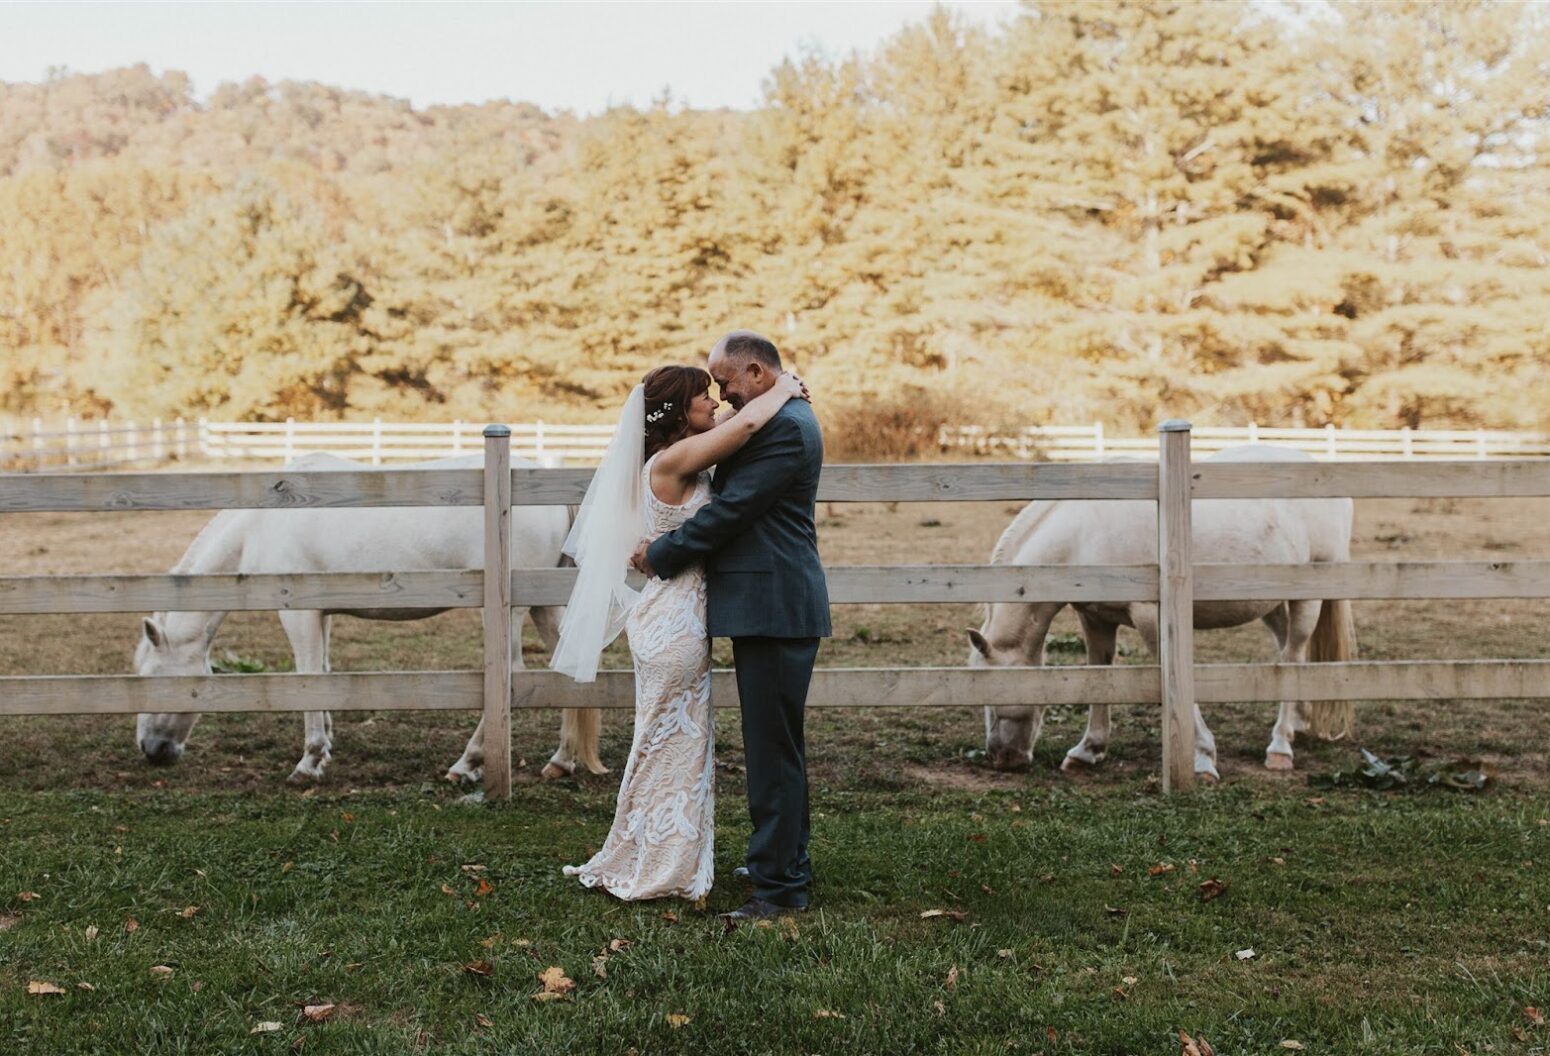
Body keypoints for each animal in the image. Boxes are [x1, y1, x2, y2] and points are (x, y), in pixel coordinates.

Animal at [131, 452, 604, 781]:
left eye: (151, 679)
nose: (151, 750)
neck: (260, 525)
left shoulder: (297, 614)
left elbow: (308, 679)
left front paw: (308, 762)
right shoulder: (320, 613)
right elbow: (323, 673)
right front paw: (325, 748)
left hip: (513, 614)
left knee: (515, 672)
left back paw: (466, 763)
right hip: (545, 605)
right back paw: (561, 761)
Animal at [967, 440, 1357, 778]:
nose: (1003, 758)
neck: (1083, 534)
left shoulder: (1150, 616)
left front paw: (1203, 758)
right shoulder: (1095, 618)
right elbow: (1099, 674)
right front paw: (1087, 750)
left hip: (1308, 597)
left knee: (1293, 655)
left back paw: (1279, 746)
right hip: (1271, 602)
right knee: (1290, 654)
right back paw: (1298, 723)